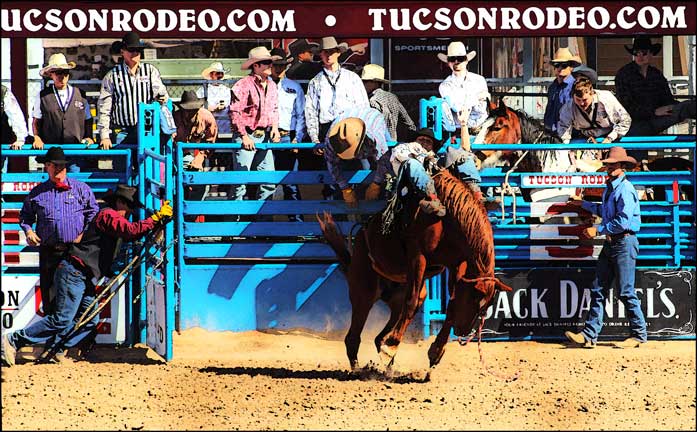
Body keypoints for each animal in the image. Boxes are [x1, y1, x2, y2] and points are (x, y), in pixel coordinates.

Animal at [316, 169, 512, 372]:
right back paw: (361, 368)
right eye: (475, 299)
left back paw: (388, 367)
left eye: (487, 306)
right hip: (363, 292)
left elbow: (451, 305)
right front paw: (392, 347)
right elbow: (411, 302)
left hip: (400, 300)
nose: (463, 331)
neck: (448, 219)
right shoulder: (418, 257)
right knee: (353, 337)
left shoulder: (457, 265)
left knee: (380, 336)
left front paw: (436, 352)